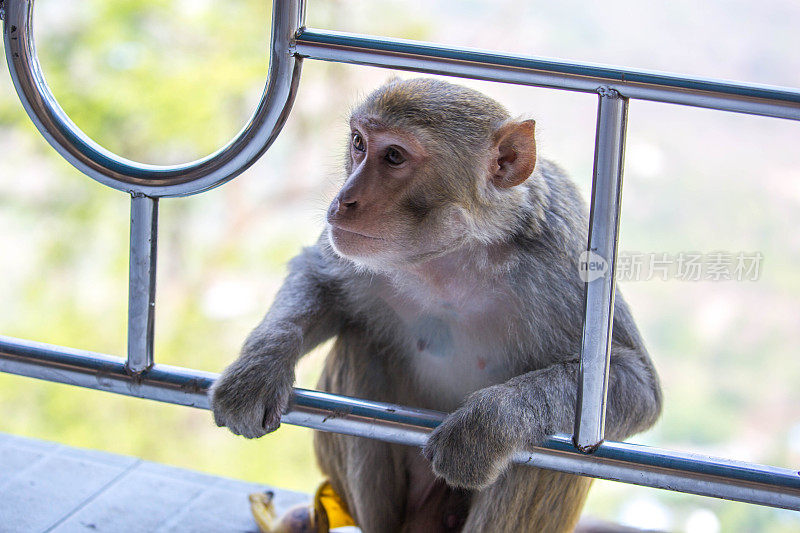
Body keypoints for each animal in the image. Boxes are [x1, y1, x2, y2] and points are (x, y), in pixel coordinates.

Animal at [211, 76, 664, 532]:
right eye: (358, 143)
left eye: (394, 156)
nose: (344, 199)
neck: (453, 257)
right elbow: (318, 277)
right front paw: (257, 371)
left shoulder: (565, 262)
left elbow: (635, 383)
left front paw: (487, 427)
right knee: (360, 344)